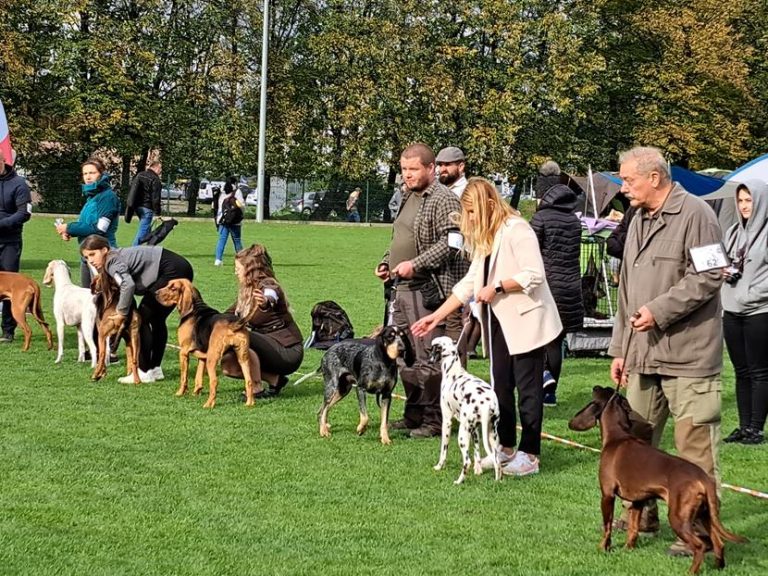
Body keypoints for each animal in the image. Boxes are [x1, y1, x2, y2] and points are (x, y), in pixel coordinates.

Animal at [154, 280, 255, 410]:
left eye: (173, 288)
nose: (155, 293)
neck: (195, 307)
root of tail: (233, 324)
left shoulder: (183, 352)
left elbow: (183, 377)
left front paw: (180, 393)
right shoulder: (202, 357)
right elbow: (198, 377)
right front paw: (196, 392)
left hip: (212, 358)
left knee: (214, 381)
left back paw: (209, 404)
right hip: (243, 357)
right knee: (249, 380)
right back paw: (250, 403)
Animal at [428, 336, 500, 484]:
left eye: (432, 347)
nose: (428, 356)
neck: (453, 372)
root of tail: (487, 403)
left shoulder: (447, 421)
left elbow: (443, 450)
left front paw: (439, 466)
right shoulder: (476, 429)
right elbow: (477, 453)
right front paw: (478, 471)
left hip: (462, 435)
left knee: (467, 461)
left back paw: (458, 481)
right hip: (492, 435)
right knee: (497, 460)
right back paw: (497, 480)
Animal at [568, 384, 744, 572]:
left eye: (599, 390)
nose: (595, 386)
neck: (618, 436)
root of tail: (703, 477)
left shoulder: (607, 495)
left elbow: (607, 527)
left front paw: (604, 548)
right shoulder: (637, 501)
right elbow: (633, 529)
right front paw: (627, 549)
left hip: (678, 518)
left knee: (700, 546)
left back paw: (691, 571)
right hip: (705, 515)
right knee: (718, 543)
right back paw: (719, 567)